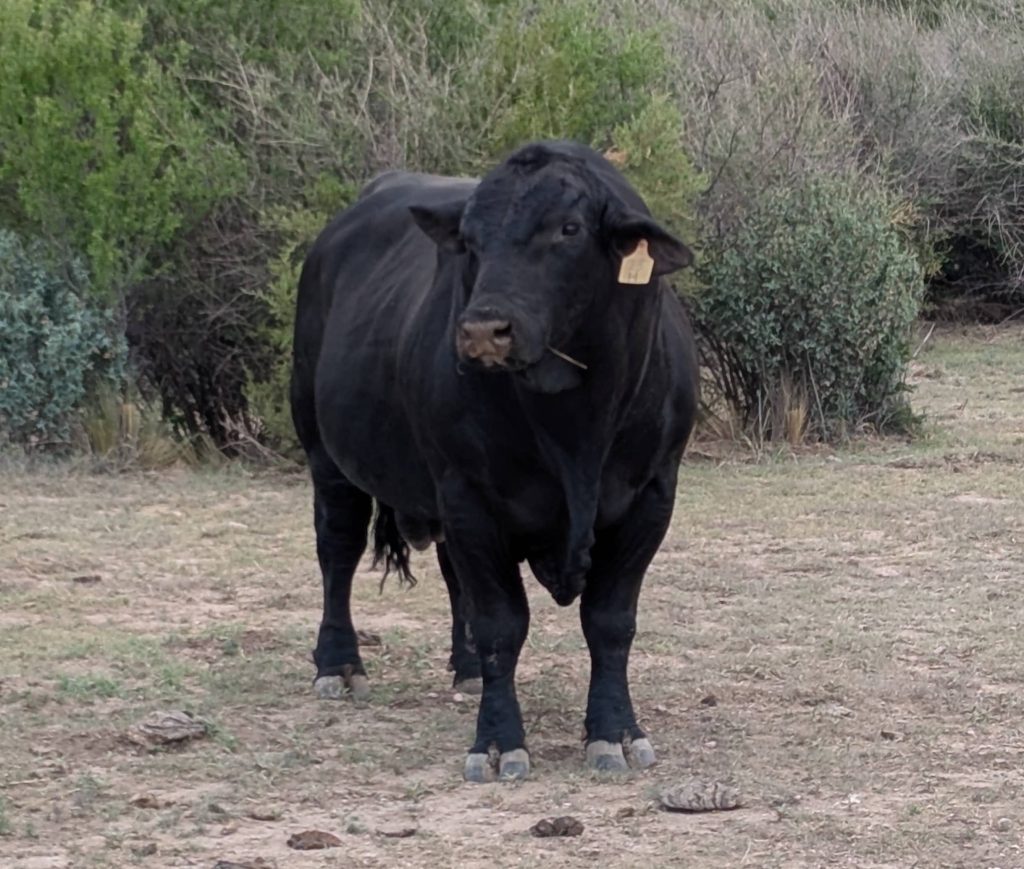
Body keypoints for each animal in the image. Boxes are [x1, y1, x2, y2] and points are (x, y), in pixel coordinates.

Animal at [290, 140, 698, 782]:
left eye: (569, 228)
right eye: (470, 240)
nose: (483, 329)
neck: (575, 426)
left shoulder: (652, 496)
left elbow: (610, 620)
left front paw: (616, 732)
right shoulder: (469, 497)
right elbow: (502, 623)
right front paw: (499, 741)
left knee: (451, 576)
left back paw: (466, 667)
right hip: (326, 454)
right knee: (338, 550)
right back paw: (338, 663)